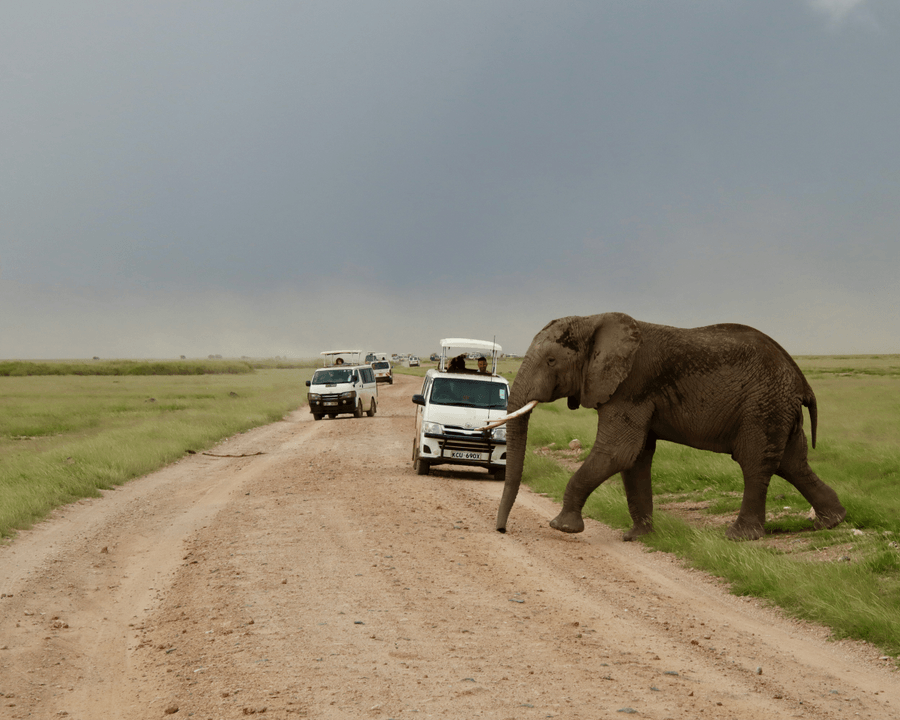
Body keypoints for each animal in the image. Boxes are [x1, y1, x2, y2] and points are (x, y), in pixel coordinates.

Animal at [488, 312, 846, 541]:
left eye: (551, 361)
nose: (502, 530)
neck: (594, 320)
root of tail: (800, 378)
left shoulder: (631, 386)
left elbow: (618, 452)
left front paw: (562, 528)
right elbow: (635, 457)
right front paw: (637, 537)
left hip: (763, 405)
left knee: (756, 462)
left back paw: (739, 538)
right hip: (779, 408)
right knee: (793, 462)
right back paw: (831, 522)